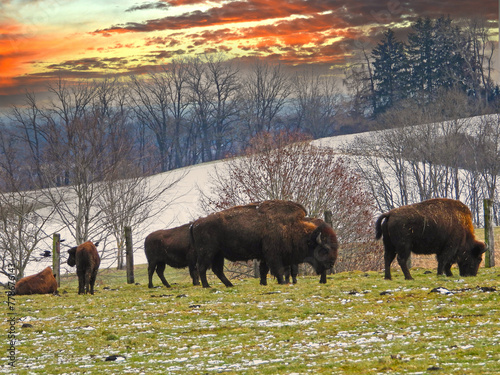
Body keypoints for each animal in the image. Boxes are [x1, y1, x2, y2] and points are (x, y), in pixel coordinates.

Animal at [189, 201, 338, 290]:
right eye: (324, 249)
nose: (331, 263)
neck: (292, 227)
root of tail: (196, 223)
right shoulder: (273, 255)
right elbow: (278, 270)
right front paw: (282, 282)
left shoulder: (265, 256)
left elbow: (263, 270)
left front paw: (263, 283)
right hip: (208, 253)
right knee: (202, 267)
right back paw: (207, 286)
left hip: (218, 254)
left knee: (217, 270)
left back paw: (230, 285)